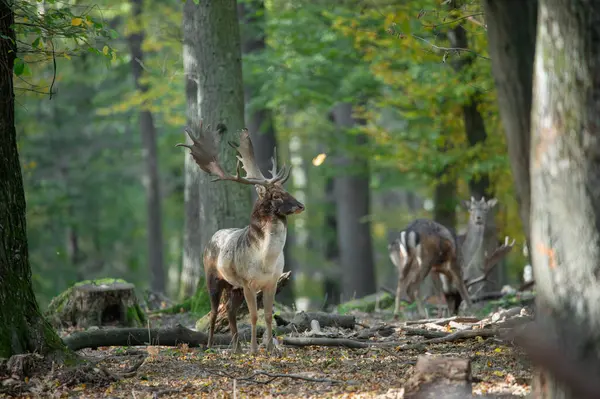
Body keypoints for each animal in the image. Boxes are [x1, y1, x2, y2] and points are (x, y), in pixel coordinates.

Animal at [176, 121, 302, 354]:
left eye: (285, 189)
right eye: (276, 195)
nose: (300, 205)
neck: (266, 260)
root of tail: (211, 238)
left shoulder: (272, 281)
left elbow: (268, 315)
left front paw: (270, 349)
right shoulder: (247, 282)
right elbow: (253, 316)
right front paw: (254, 350)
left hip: (233, 286)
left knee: (230, 311)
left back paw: (236, 348)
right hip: (213, 277)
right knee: (214, 311)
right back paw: (210, 346)